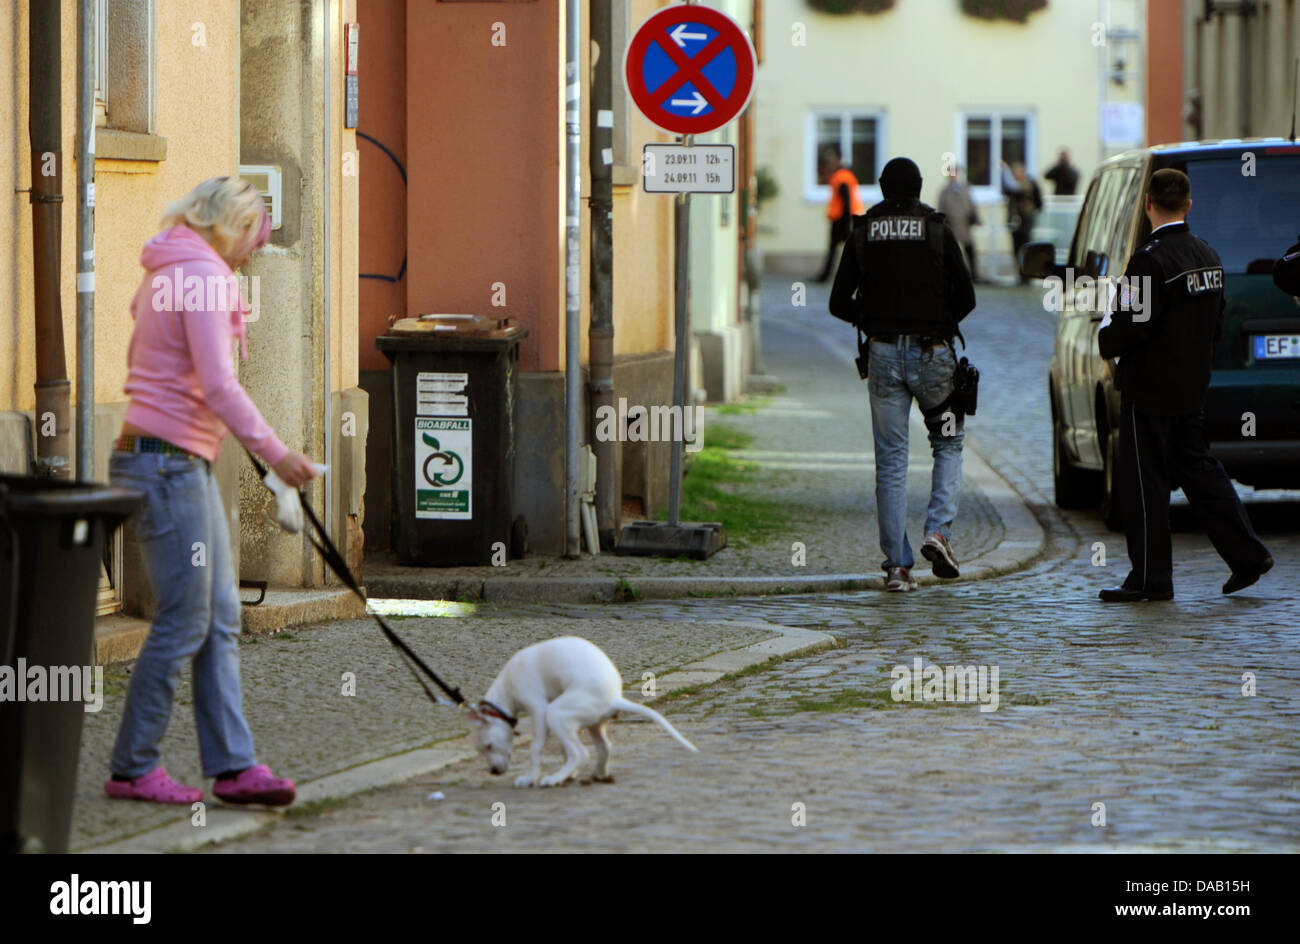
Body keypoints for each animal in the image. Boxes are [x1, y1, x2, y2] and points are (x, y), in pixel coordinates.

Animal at [462, 637, 696, 790]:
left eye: (488, 746)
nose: (494, 772)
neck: (508, 684)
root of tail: (614, 697)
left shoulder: (539, 711)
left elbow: (536, 751)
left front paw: (530, 778)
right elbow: (563, 750)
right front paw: (570, 774)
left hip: (555, 713)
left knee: (580, 752)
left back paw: (554, 779)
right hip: (592, 723)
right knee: (604, 747)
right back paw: (598, 774)